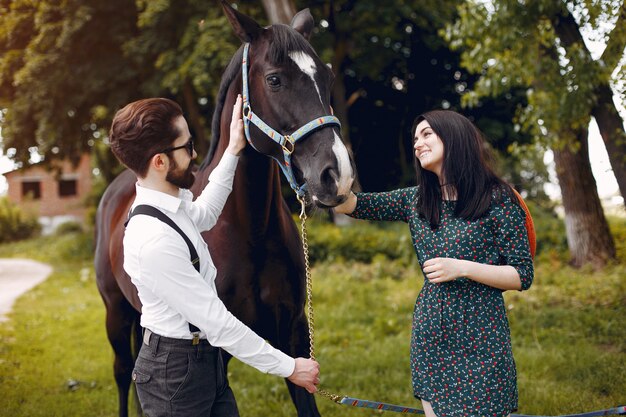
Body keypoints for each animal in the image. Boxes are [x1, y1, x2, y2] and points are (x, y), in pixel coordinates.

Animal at [95, 3, 354, 416]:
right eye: (275, 80)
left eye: (327, 77)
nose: (337, 176)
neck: (250, 229)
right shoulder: (219, 346)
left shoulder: (293, 335)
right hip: (116, 313)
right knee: (123, 373)